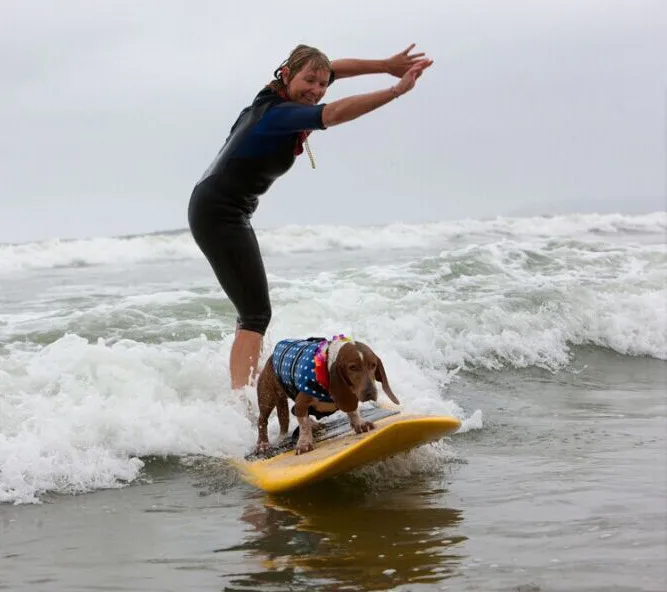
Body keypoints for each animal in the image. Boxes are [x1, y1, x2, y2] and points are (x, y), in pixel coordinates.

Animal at [256, 336, 402, 456]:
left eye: (373, 365)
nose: (370, 392)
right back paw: (262, 444)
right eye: (352, 367)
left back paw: (314, 425)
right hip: (267, 397)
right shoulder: (301, 403)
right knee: (262, 420)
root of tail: (271, 357)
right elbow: (303, 424)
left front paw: (359, 423)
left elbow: (353, 411)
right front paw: (304, 443)